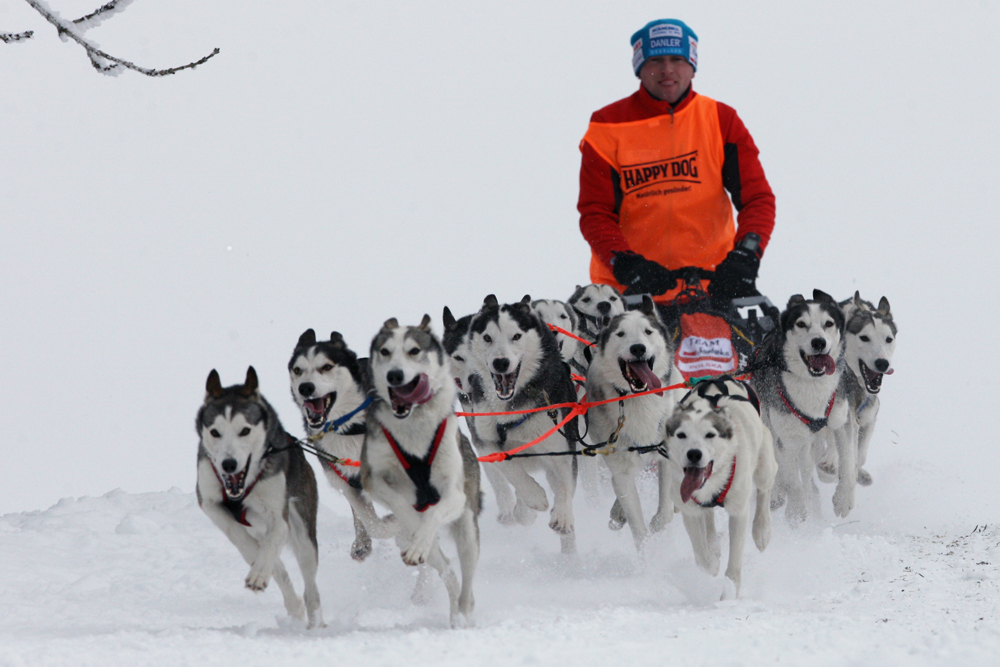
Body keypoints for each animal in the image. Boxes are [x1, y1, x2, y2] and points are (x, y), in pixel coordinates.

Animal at [194, 368, 320, 628]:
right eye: (215, 432)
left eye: (244, 430)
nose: (228, 464)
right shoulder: (208, 500)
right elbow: (238, 536)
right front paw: (256, 564)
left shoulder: (279, 518)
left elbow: (272, 543)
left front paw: (259, 573)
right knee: (280, 570)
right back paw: (291, 602)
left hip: (303, 533)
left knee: (311, 589)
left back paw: (315, 624)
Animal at [362, 316, 482, 628]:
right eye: (385, 352)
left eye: (414, 351)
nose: (394, 375)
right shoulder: (372, 476)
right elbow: (402, 504)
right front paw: (414, 528)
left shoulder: (455, 494)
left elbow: (436, 511)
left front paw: (421, 534)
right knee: (448, 570)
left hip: (468, 533)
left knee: (467, 588)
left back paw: (464, 615)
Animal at [668, 376, 776, 600]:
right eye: (681, 435)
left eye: (710, 434)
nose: (694, 454)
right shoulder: (689, 509)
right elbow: (701, 554)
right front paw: (711, 562)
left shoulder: (738, 510)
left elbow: (734, 560)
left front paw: (728, 595)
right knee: (708, 519)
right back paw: (714, 545)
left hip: (764, 465)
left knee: (764, 489)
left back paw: (762, 530)